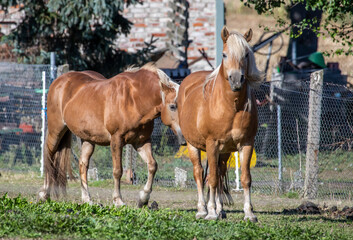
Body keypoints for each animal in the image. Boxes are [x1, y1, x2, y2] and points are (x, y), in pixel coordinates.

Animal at [37, 63, 184, 206]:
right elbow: (117, 171)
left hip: (87, 139)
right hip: (56, 131)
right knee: (49, 157)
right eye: (172, 106)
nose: (183, 138)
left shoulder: (141, 141)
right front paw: (118, 200)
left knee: (83, 164)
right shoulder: (116, 140)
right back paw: (44, 194)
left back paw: (87, 199)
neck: (134, 99)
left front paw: (143, 198)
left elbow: (152, 165)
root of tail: (59, 81)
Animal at [177, 26, 262, 221]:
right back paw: (202, 209)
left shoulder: (246, 144)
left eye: (246, 54)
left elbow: (245, 178)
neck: (230, 106)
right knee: (200, 173)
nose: (236, 80)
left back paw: (220, 209)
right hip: (193, 145)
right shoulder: (212, 143)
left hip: (224, 151)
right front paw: (210, 213)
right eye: (224, 54)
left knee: (220, 171)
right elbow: (212, 178)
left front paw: (249, 213)